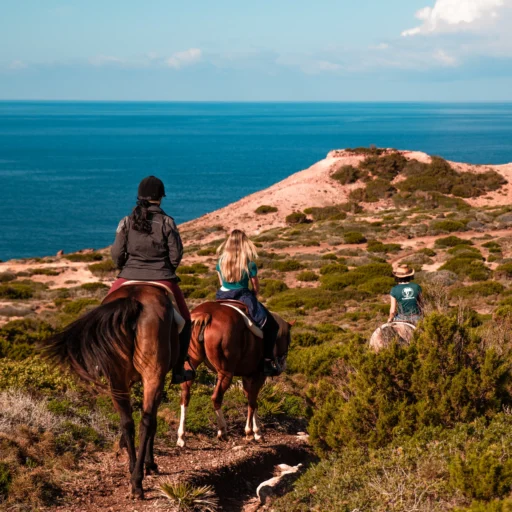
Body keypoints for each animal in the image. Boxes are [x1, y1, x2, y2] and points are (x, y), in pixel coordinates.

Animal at [44, 286, 180, 498]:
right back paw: (138, 479)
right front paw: (150, 464)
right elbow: (154, 422)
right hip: (153, 374)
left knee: (127, 422)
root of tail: (134, 298)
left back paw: (133, 472)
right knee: (146, 421)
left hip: (116, 377)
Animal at [177, 302, 292, 446]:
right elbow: (253, 401)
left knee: (185, 395)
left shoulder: (247, 376)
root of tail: (206, 314)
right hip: (226, 373)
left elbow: (251, 400)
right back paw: (222, 431)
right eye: (289, 339)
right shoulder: (258, 375)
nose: (283, 364)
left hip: (190, 365)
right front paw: (252, 433)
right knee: (216, 397)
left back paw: (181, 437)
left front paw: (254, 432)